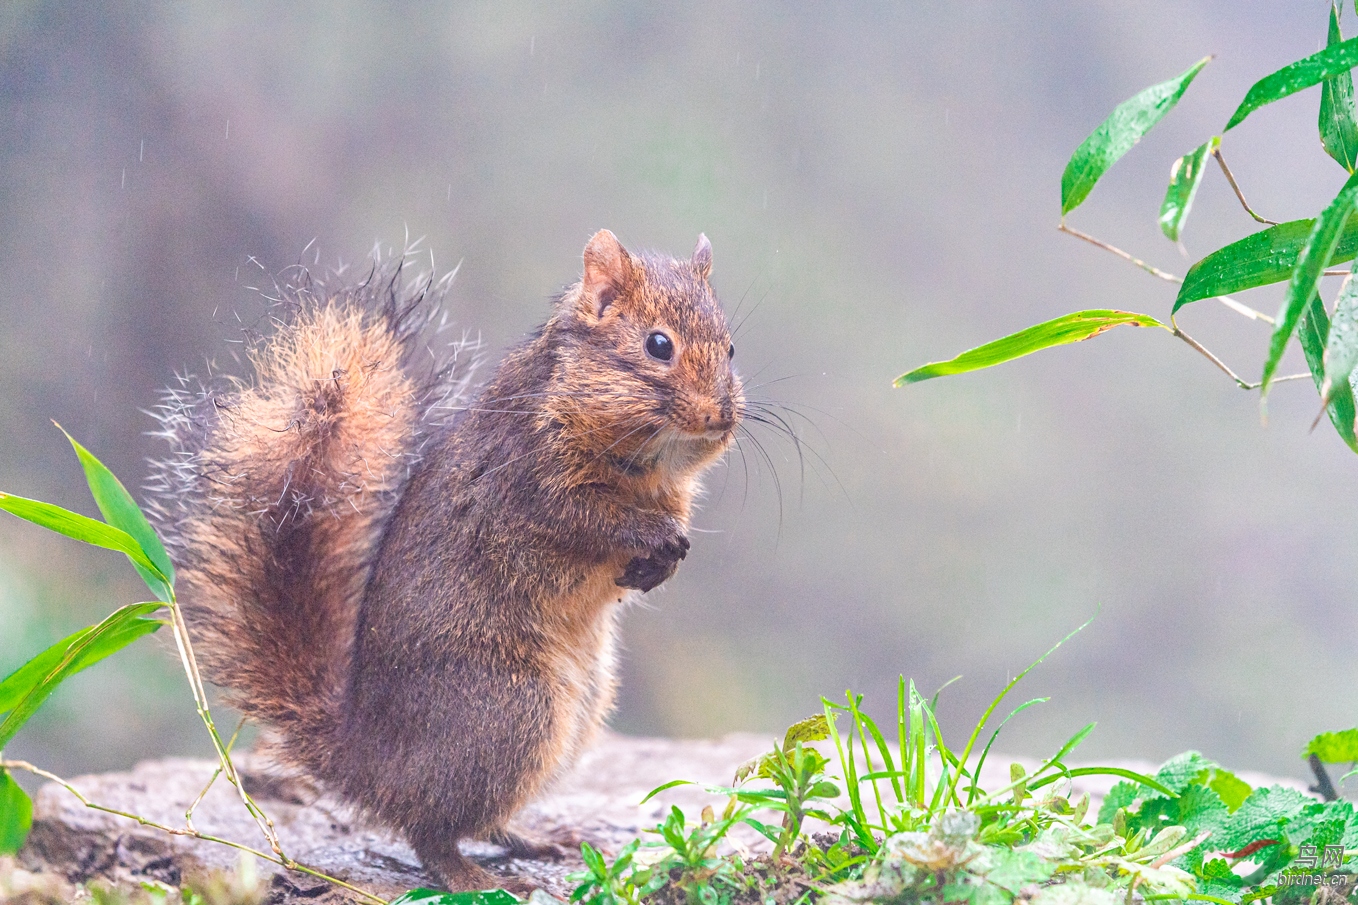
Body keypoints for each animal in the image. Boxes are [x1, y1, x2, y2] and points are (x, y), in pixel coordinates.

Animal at [148, 229, 744, 891]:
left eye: (732, 347)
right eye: (658, 345)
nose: (721, 416)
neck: (651, 463)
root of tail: (367, 761)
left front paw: (662, 558)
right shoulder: (528, 477)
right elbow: (585, 519)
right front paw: (649, 537)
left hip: (577, 710)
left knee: (480, 818)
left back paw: (537, 841)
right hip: (510, 711)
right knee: (430, 830)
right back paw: (473, 877)